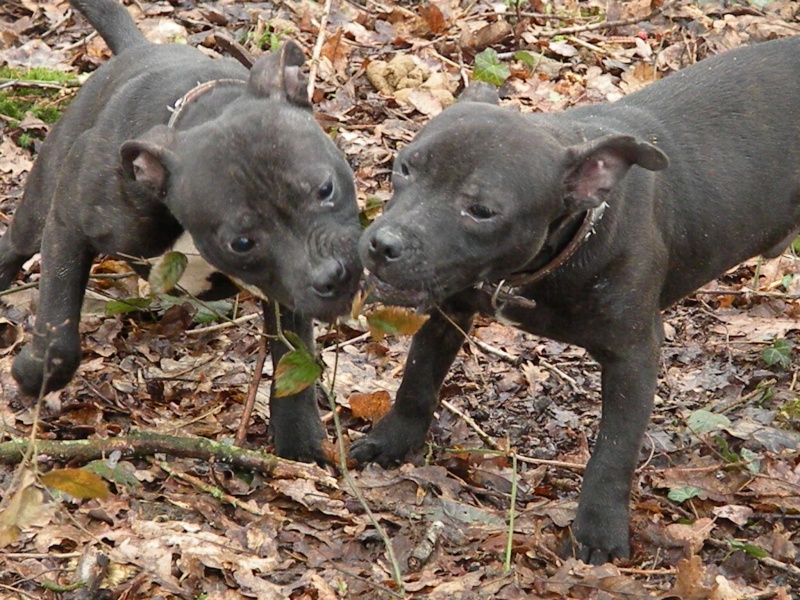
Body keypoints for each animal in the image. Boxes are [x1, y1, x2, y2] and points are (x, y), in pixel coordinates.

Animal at [0, 0, 360, 464]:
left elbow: (293, 359)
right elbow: (57, 333)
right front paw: (31, 373)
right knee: (14, 245)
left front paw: (300, 442)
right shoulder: (68, 223)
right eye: (241, 243)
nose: (333, 275)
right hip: (39, 204)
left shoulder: (288, 288)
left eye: (326, 189)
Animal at [356, 37, 800, 564]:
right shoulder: (451, 309)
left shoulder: (633, 357)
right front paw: (392, 438)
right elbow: (418, 375)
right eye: (405, 166)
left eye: (482, 211)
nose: (383, 244)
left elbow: (613, 450)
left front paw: (599, 529)